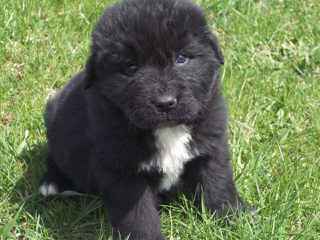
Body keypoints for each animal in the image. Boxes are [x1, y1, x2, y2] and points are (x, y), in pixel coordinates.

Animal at [40, 0, 242, 239]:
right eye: (130, 67)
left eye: (181, 59)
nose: (165, 102)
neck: (166, 130)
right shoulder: (123, 171)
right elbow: (139, 216)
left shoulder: (211, 146)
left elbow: (218, 184)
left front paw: (234, 220)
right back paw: (52, 182)